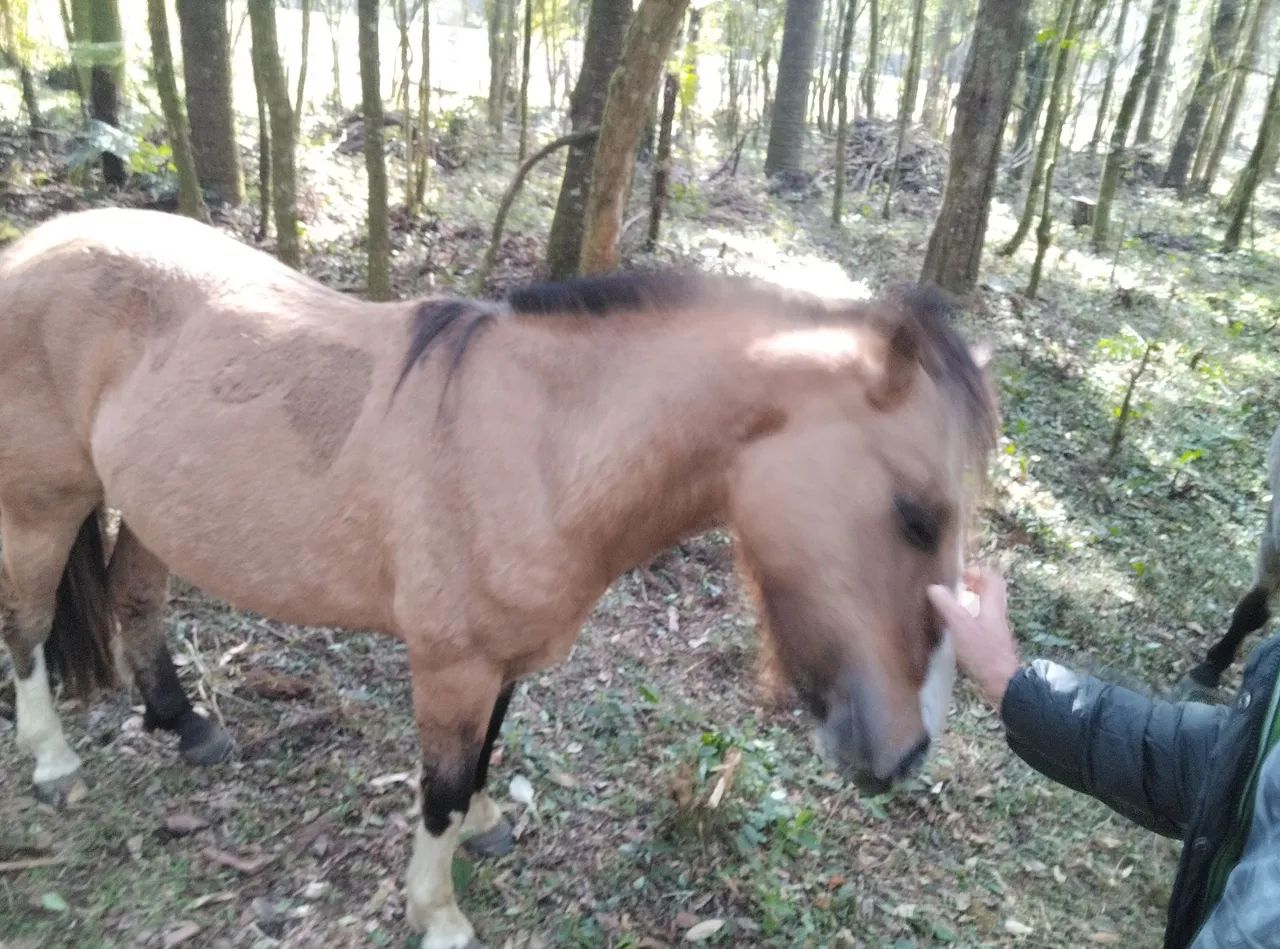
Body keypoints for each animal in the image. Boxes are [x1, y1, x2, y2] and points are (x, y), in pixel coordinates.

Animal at [0, 208, 996, 948]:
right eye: (916, 513)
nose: (909, 752)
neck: (544, 447)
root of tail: (36, 244)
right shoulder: (452, 664)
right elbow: (439, 783)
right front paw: (436, 909)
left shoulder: (502, 661)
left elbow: (483, 754)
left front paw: (482, 823)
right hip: (44, 505)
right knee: (29, 626)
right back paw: (53, 759)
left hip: (152, 504)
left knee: (134, 595)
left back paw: (182, 721)